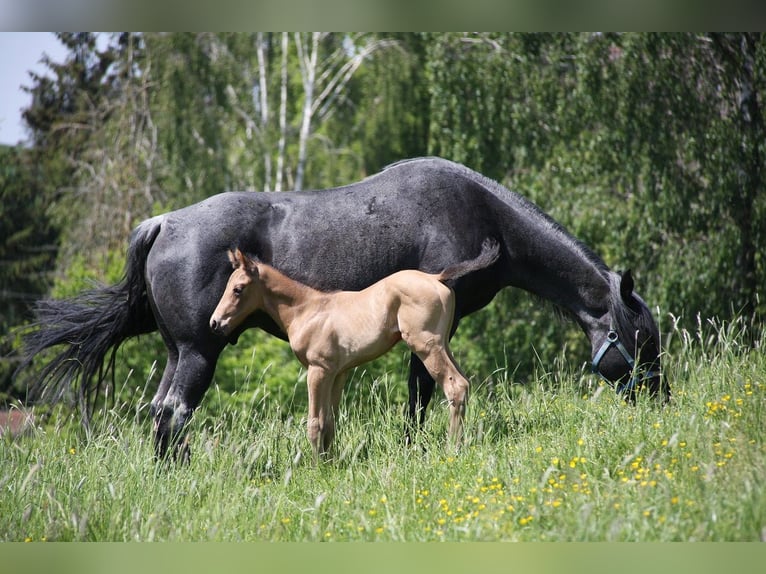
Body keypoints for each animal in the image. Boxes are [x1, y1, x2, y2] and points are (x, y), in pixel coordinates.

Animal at [210, 240, 499, 459]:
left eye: (238, 289)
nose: (215, 323)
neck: (307, 309)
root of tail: (436, 277)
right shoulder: (338, 373)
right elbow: (329, 422)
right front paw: (329, 463)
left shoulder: (318, 370)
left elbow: (315, 423)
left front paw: (315, 469)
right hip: (442, 343)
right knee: (464, 383)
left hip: (426, 345)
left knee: (455, 386)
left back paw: (453, 448)